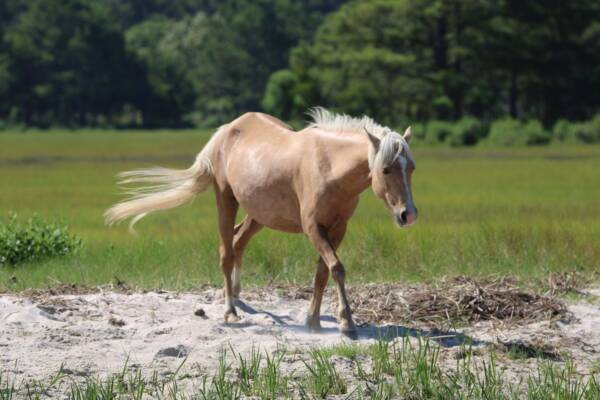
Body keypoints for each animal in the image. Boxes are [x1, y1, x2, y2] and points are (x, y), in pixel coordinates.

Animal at [105, 107, 418, 338]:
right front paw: (346, 323)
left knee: (238, 241)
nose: (409, 214)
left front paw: (313, 321)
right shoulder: (313, 228)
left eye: (411, 167)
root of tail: (226, 130)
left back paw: (235, 294)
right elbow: (337, 269)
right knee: (226, 251)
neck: (328, 165)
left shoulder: (337, 229)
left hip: (260, 214)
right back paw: (230, 311)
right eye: (385, 169)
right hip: (226, 200)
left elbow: (323, 273)